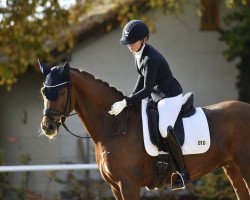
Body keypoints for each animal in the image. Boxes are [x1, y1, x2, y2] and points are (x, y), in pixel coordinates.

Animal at [39, 62, 250, 200]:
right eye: (43, 92)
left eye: (62, 92)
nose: (47, 127)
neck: (114, 126)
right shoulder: (115, 186)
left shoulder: (128, 184)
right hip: (232, 167)